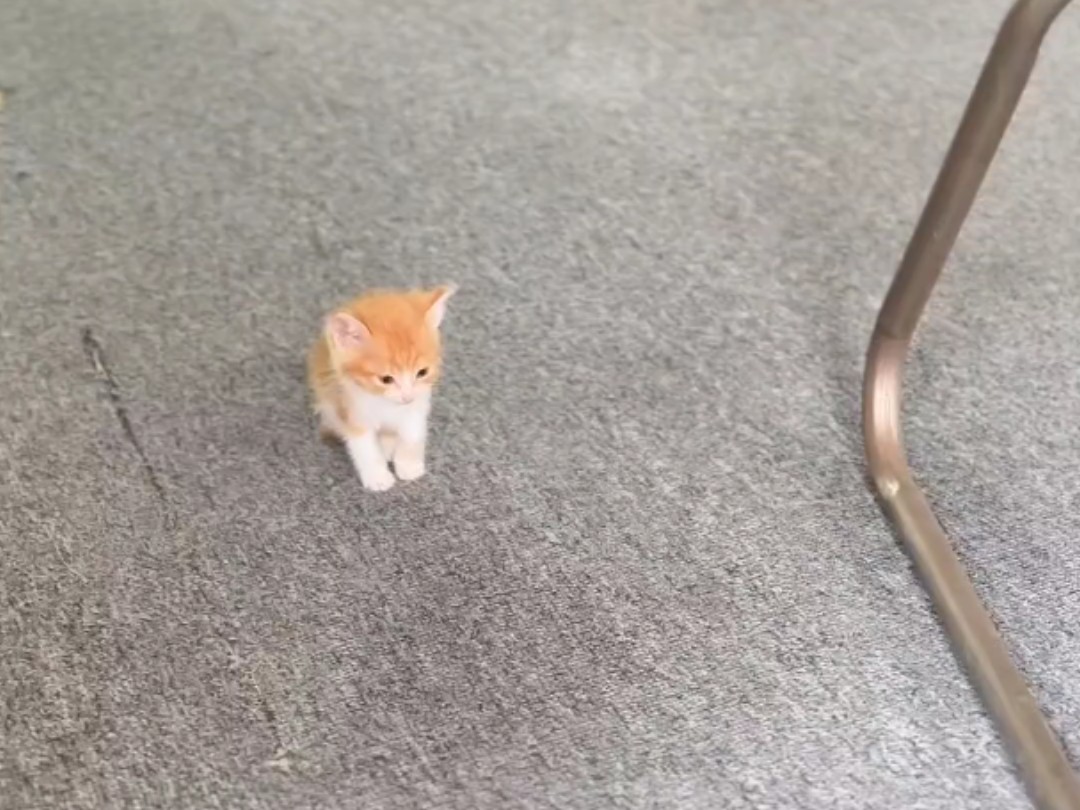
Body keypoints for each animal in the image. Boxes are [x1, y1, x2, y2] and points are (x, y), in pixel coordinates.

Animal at [307, 285, 455, 491]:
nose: (407, 397)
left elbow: (412, 435)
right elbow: (365, 448)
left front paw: (408, 465)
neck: (386, 404)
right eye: (386, 379)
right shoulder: (351, 408)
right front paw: (377, 477)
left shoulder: (418, 404)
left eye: (422, 372)